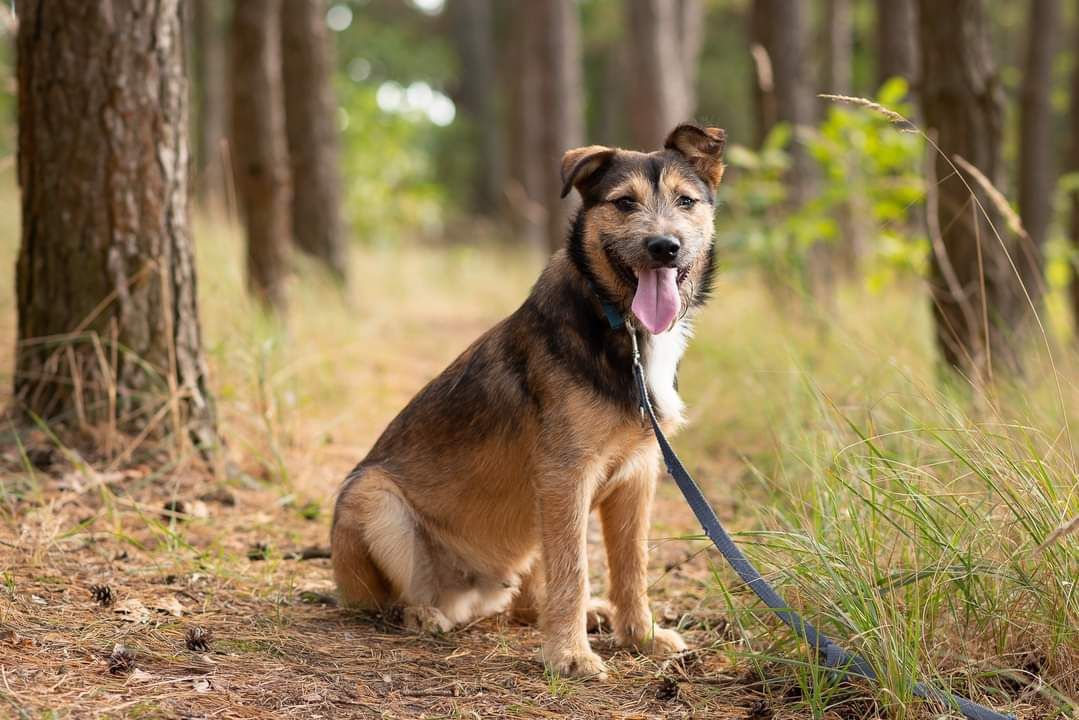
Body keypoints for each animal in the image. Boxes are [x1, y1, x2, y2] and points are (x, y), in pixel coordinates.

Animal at [332, 120, 729, 677]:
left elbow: (632, 566)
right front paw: (569, 656)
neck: (621, 329)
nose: (663, 246)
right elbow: (574, 571)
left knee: (526, 601)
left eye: (686, 201)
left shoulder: (638, 473)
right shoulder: (566, 474)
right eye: (624, 203)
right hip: (371, 497)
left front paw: (641, 636)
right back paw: (426, 614)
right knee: (399, 598)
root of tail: (474, 588)